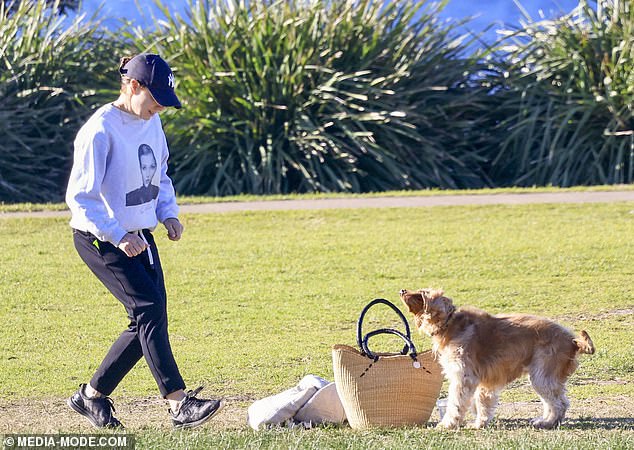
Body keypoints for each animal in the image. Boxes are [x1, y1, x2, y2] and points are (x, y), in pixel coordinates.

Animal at [400, 286, 592, 430]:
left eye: (420, 294)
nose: (402, 290)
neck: (449, 324)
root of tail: (572, 340)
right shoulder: (481, 381)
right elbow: (481, 403)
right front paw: (480, 423)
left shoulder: (464, 377)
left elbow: (456, 404)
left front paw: (447, 424)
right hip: (543, 376)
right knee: (555, 402)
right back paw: (544, 420)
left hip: (541, 375)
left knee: (559, 403)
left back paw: (548, 423)